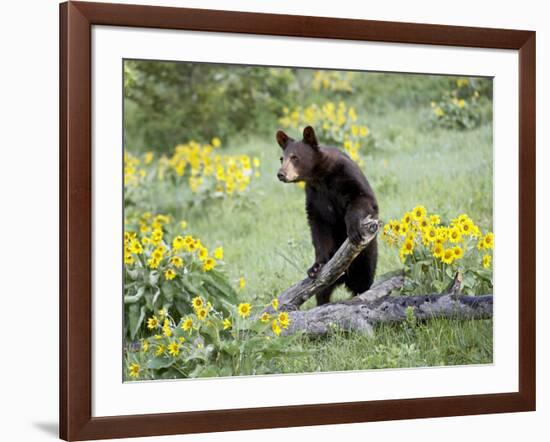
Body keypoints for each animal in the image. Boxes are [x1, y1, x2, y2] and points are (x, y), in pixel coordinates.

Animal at [276, 124, 380, 304]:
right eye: (282, 158)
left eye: (295, 157)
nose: (281, 174)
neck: (320, 176)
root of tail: (344, 279)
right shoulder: (315, 195)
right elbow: (319, 226)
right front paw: (316, 266)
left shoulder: (346, 174)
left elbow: (362, 198)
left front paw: (353, 229)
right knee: (322, 291)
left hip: (367, 255)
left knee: (364, 280)